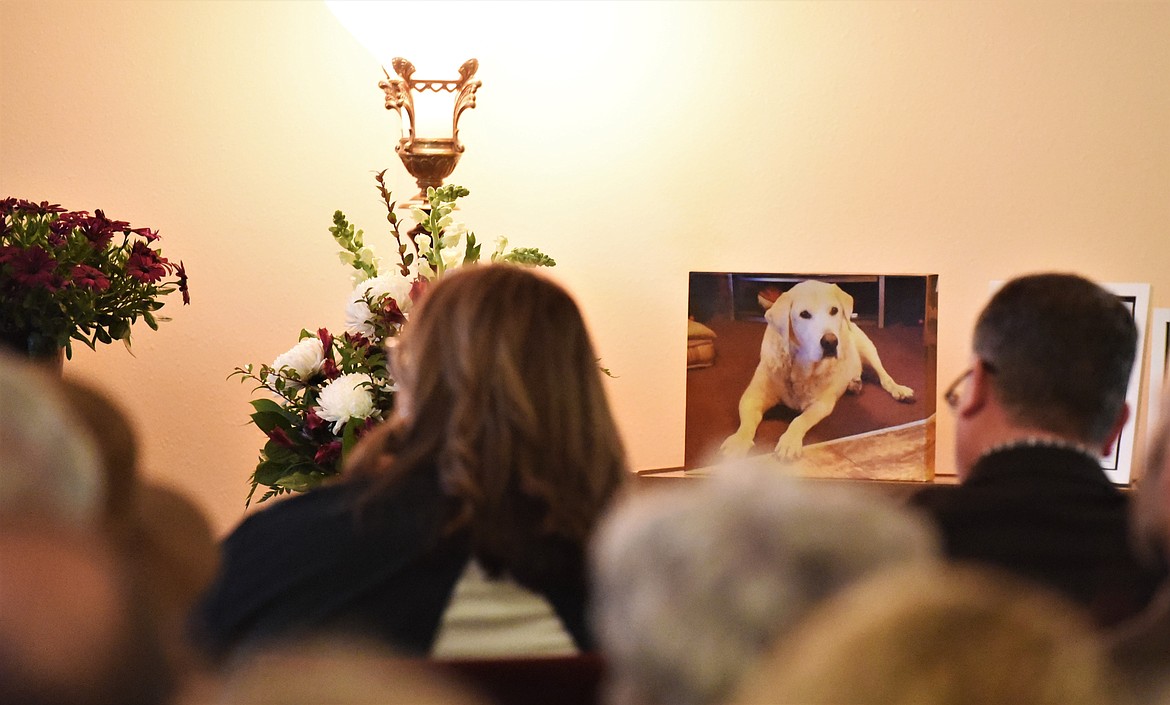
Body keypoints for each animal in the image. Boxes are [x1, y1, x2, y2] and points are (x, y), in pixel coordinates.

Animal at [720, 278, 912, 460]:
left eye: (834, 310)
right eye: (804, 314)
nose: (831, 342)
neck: (800, 365)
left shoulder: (822, 404)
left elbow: (800, 420)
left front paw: (789, 441)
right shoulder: (753, 395)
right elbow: (747, 421)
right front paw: (738, 442)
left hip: (867, 347)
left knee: (883, 376)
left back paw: (898, 390)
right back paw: (854, 384)